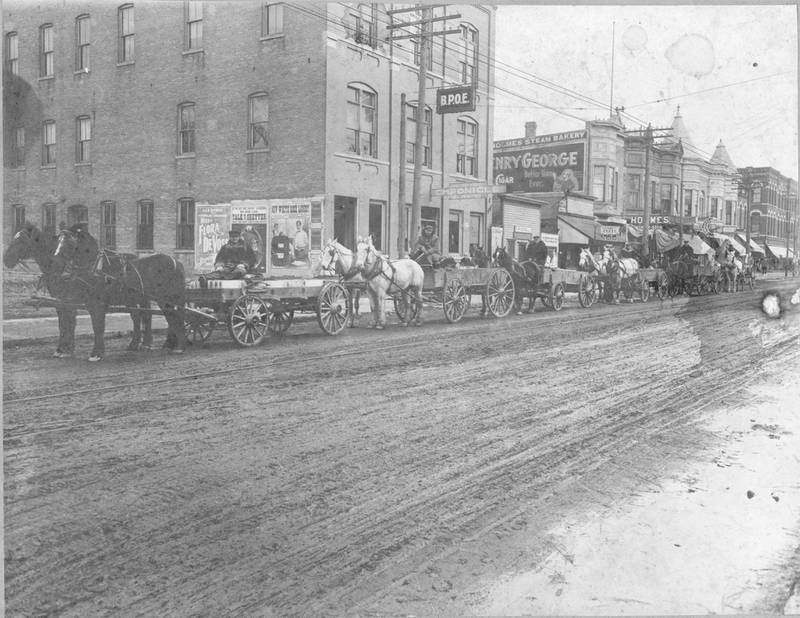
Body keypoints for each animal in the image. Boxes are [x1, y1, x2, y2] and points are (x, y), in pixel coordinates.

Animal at [54, 226, 189, 360]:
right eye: (59, 239)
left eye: (70, 241)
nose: (56, 257)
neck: (96, 267)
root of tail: (177, 262)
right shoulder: (90, 304)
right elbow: (95, 326)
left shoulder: (98, 304)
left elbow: (98, 327)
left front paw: (96, 353)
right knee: (166, 316)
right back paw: (167, 344)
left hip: (166, 298)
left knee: (174, 316)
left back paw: (179, 346)